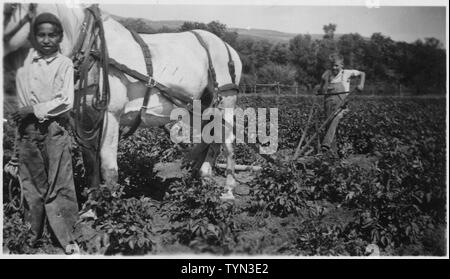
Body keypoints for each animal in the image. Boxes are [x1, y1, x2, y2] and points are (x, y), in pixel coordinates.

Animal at [3, 2, 243, 199]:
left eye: (9, 9)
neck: (92, 48)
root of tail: (228, 47)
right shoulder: (84, 118)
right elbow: (90, 164)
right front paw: (91, 207)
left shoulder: (111, 115)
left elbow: (108, 166)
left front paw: (112, 209)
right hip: (198, 107)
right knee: (210, 137)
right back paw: (201, 176)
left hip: (226, 102)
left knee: (228, 141)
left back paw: (228, 190)